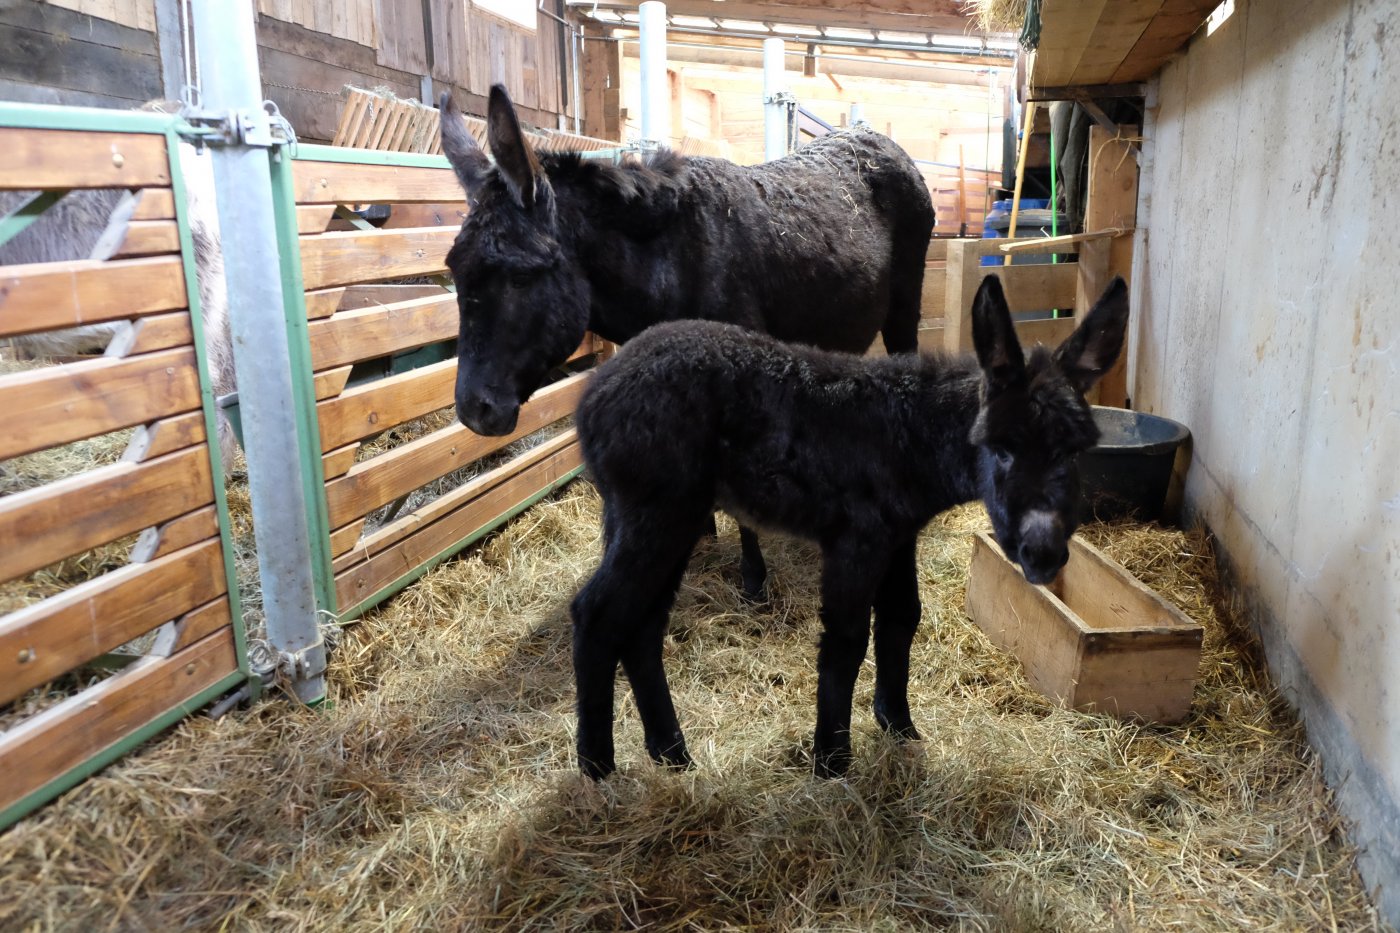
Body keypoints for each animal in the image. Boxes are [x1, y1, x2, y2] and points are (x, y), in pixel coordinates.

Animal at [568, 273, 1125, 773]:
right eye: (1000, 448)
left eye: (1076, 451)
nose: (1043, 555)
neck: (911, 435)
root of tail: (593, 396)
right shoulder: (858, 539)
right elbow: (846, 640)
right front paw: (832, 761)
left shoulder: (899, 535)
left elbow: (902, 617)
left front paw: (899, 727)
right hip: (657, 512)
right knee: (598, 613)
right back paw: (599, 771)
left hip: (663, 518)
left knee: (641, 624)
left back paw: (671, 754)